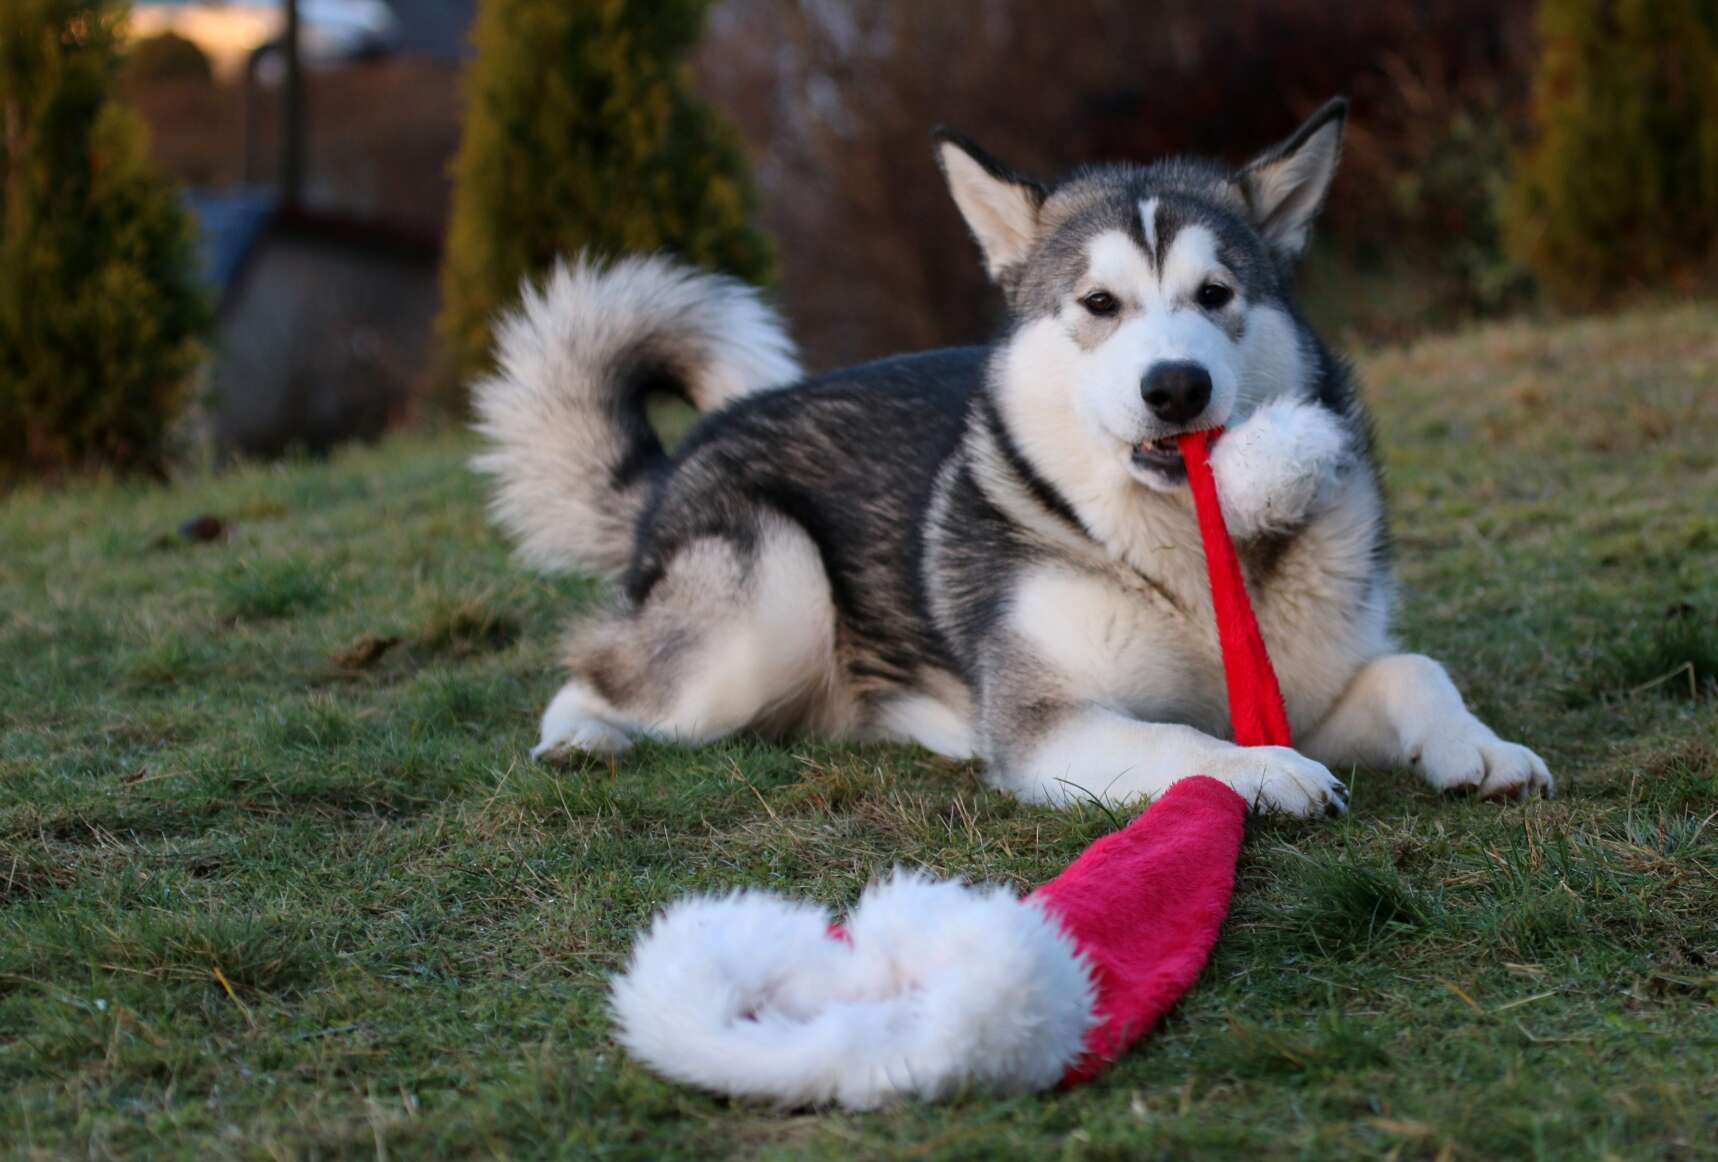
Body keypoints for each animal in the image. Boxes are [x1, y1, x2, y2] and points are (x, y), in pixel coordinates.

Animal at [471, 98, 1553, 816]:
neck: (1179, 554)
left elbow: (1414, 668)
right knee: (599, 669)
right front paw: (1263, 773)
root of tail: (684, 454)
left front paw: (1478, 746)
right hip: (766, 606)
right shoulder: (1053, 723)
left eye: (1214, 294)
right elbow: (1179, 739)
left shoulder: (1305, 688)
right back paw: (580, 736)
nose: (1174, 387)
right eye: (1098, 303)